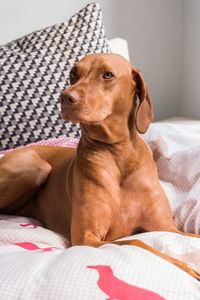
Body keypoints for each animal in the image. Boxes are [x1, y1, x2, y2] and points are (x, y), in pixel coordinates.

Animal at [0, 53, 200, 278]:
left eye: (107, 75)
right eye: (73, 73)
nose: (65, 98)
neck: (118, 154)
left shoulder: (167, 227)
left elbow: (189, 235)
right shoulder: (87, 238)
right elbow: (138, 242)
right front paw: (185, 267)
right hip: (36, 166)